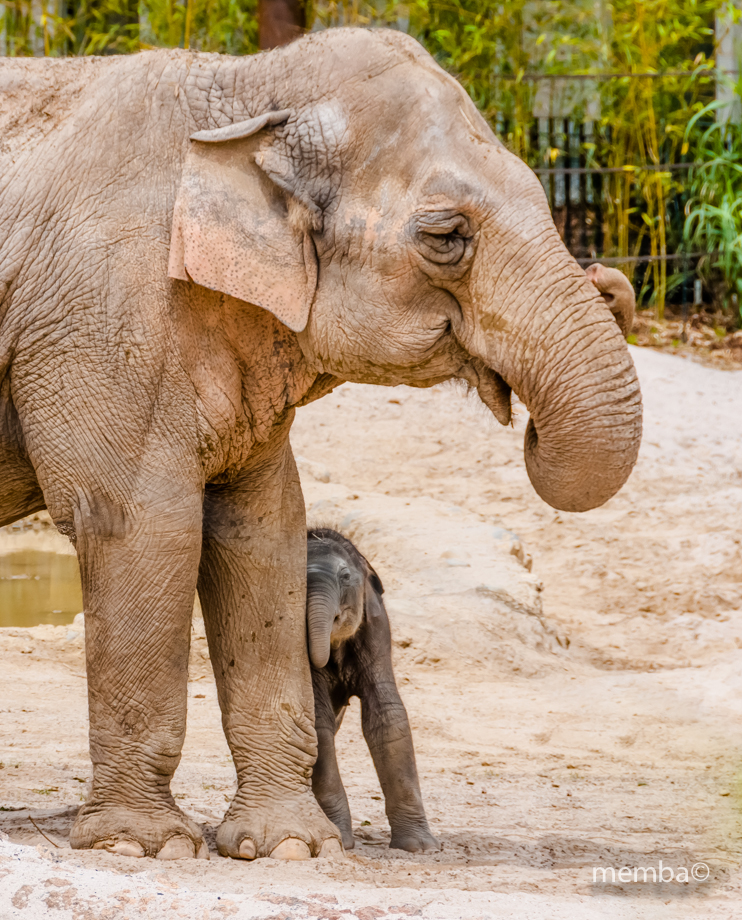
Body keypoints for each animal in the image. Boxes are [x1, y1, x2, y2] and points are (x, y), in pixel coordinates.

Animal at [306, 532, 438, 856]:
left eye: (345, 577)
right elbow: (318, 719)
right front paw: (340, 840)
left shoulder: (377, 628)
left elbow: (387, 716)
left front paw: (419, 847)